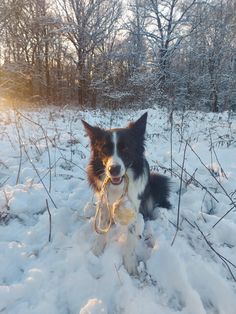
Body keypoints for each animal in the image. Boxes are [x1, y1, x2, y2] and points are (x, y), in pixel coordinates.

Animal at [82, 113, 171, 274]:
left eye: (125, 149)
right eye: (105, 150)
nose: (113, 170)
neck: (118, 185)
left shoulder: (132, 207)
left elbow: (130, 239)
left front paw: (130, 264)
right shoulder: (104, 202)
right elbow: (102, 228)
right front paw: (96, 251)